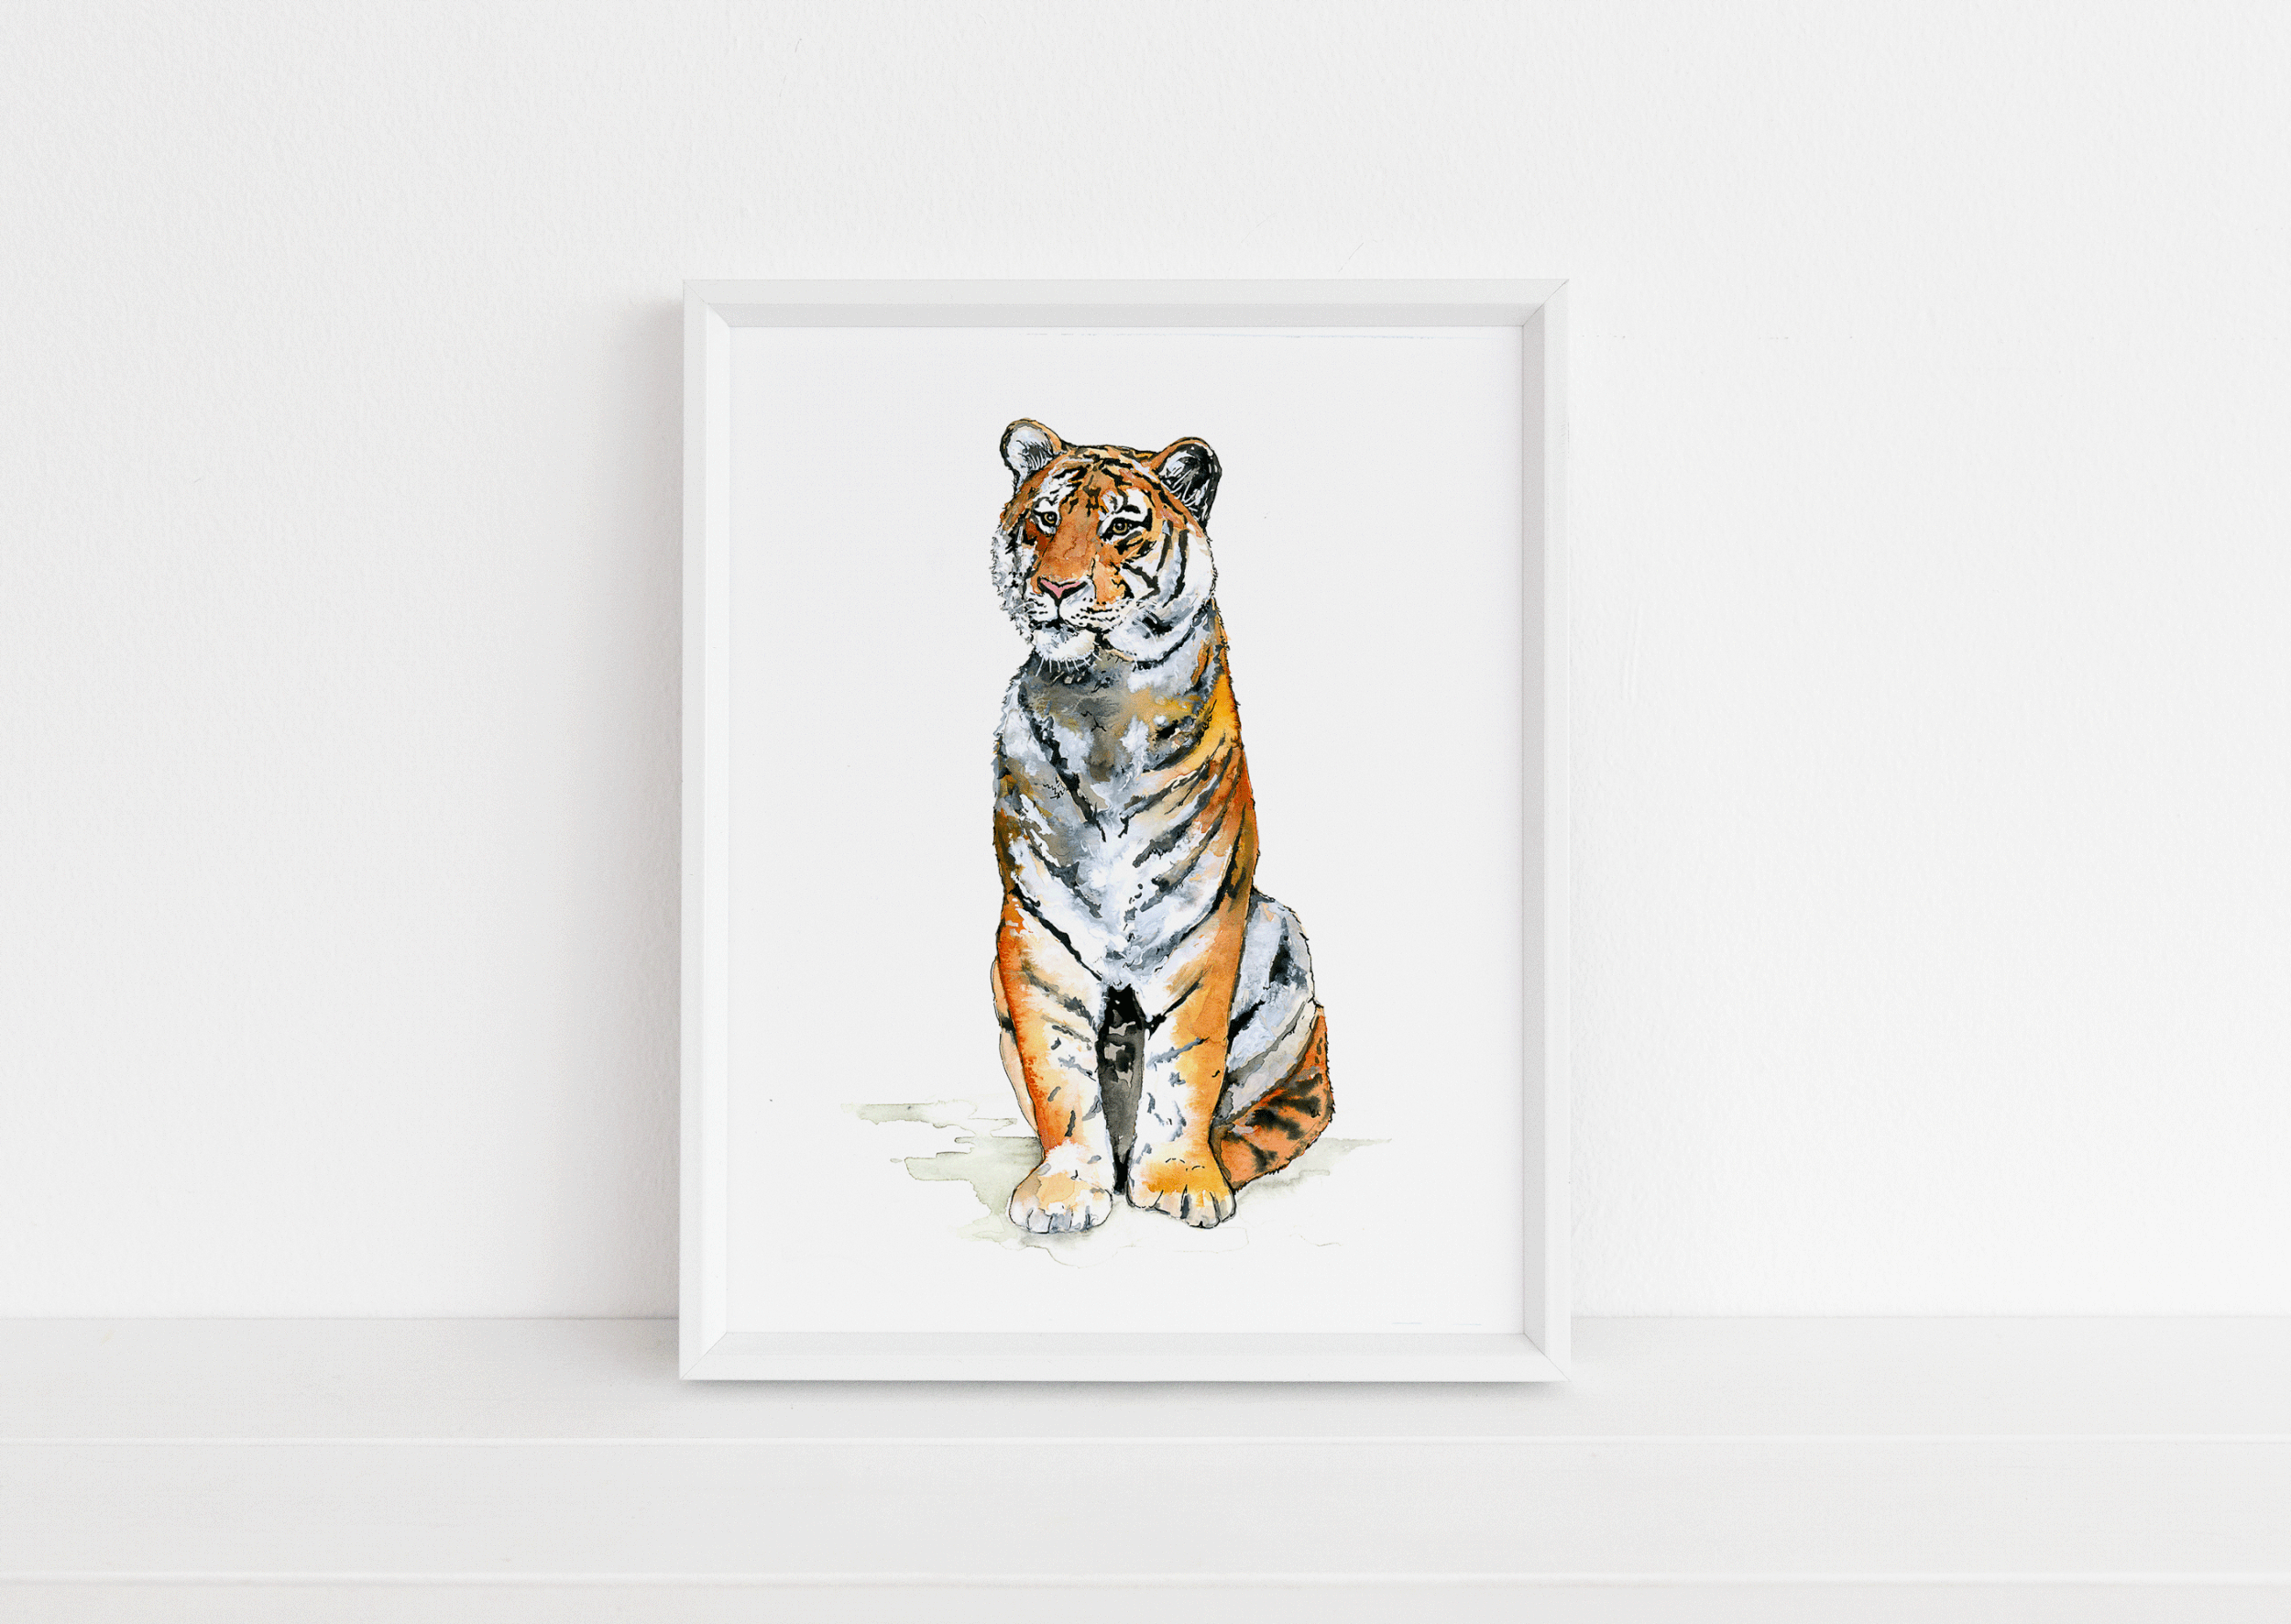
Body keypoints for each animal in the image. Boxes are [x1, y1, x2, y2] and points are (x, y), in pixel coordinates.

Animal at [987, 419, 1332, 1232]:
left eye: (1120, 527)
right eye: (1045, 519)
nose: (1057, 589)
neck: (1099, 700)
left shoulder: (1201, 924)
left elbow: (1188, 1063)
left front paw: (1181, 1181)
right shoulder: (1034, 929)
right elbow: (1057, 1071)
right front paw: (1064, 1190)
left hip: (1283, 936)